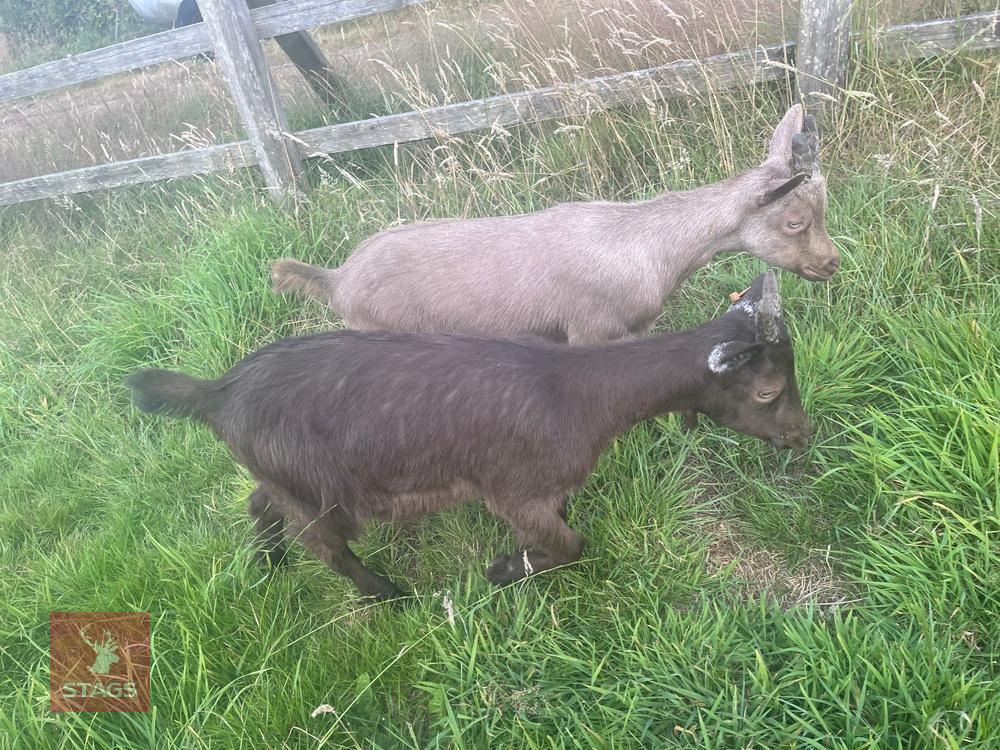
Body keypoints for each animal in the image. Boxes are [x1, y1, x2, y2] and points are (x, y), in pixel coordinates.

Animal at [127, 272, 810, 600]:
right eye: (767, 391)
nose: (801, 437)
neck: (579, 394)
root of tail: (218, 392)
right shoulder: (513, 490)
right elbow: (571, 546)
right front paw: (506, 569)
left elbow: (565, 530)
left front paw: (516, 563)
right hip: (328, 494)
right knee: (324, 544)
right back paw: (385, 594)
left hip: (286, 475)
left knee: (260, 502)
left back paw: (268, 564)